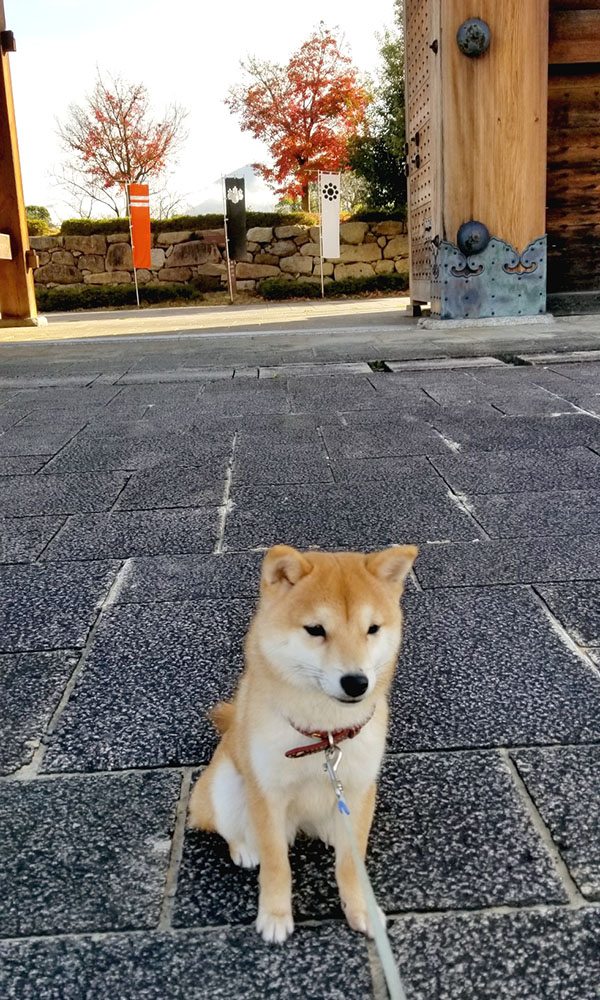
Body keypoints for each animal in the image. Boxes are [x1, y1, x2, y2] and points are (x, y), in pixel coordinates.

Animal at [188, 544, 418, 940]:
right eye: (315, 630)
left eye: (372, 629)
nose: (356, 682)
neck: (324, 735)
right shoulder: (267, 792)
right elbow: (277, 865)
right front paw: (275, 915)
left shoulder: (358, 787)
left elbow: (350, 865)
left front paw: (361, 908)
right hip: (223, 787)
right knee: (225, 827)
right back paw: (245, 848)